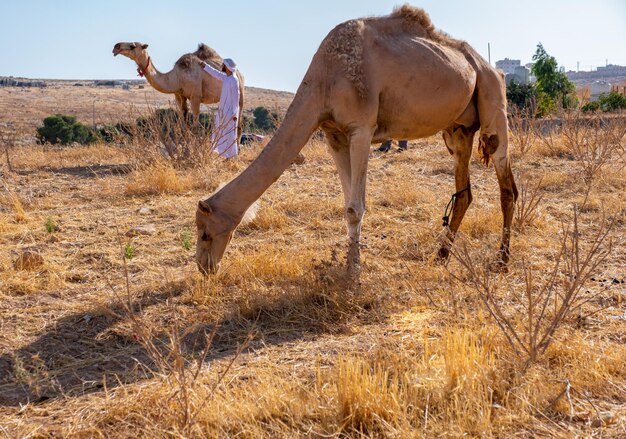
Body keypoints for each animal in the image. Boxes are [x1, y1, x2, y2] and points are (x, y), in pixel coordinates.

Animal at [111, 41, 243, 138]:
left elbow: (195, 127)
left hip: (239, 94)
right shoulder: (179, 95)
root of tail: (240, 74)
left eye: (132, 46)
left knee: (239, 125)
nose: (116, 47)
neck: (178, 77)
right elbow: (184, 125)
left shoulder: (195, 96)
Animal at [195, 5, 516, 276]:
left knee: (506, 184)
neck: (324, 79)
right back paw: (440, 256)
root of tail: (490, 67)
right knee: (464, 193)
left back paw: (502, 260)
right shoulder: (333, 134)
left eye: (204, 232)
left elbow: (356, 207)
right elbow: (347, 204)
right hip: (458, 128)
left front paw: (353, 275)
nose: (204, 267)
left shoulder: (361, 129)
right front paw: (349, 267)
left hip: (492, 99)